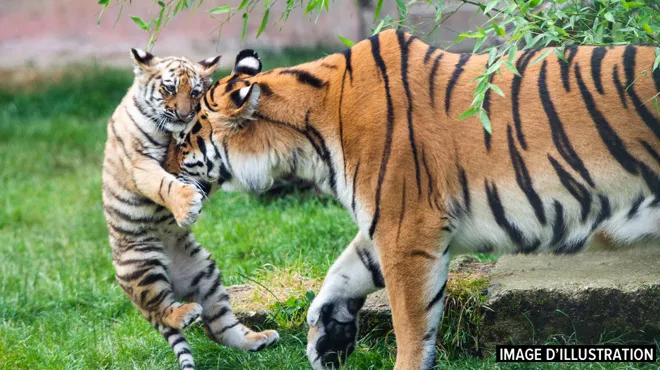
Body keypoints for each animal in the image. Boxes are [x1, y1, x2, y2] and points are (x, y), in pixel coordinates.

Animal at [102, 49, 278, 370]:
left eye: (195, 92)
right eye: (169, 89)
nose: (184, 115)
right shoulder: (140, 164)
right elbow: (163, 184)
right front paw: (186, 206)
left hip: (205, 273)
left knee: (218, 328)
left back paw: (257, 339)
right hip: (144, 266)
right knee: (163, 313)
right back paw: (185, 313)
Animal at [168, 30, 660, 368]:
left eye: (186, 136)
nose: (162, 163)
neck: (307, 140)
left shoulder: (406, 229)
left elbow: (409, 324)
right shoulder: (387, 221)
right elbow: (343, 272)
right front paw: (329, 337)